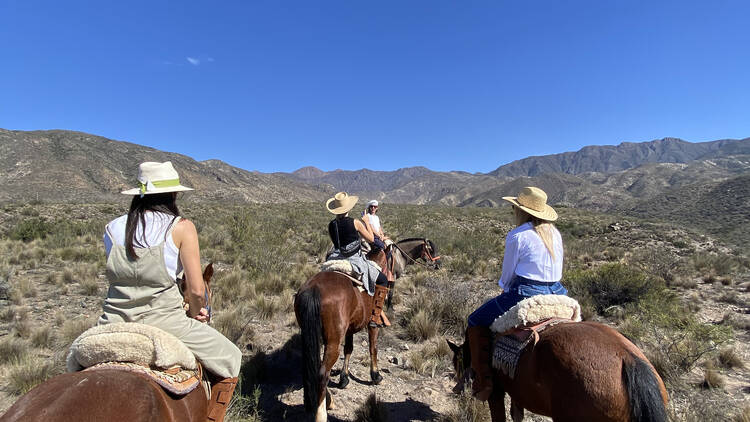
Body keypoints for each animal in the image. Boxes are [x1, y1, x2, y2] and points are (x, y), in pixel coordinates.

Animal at [294, 251, 390, 422]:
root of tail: (314, 288)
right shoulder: (373, 325)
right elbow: (373, 348)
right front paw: (376, 376)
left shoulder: (349, 329)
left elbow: (349, 349)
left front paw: (344, 378)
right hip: (333, 342)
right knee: (322, 373)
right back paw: (322, 414)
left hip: (310, 336)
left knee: (314, 367)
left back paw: (327, 401)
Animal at [450, 322, 672, 420]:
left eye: (457, 362)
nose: (456, 389)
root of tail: (627, 359)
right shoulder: (518, 392)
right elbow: (517, 415)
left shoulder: (496, 392)